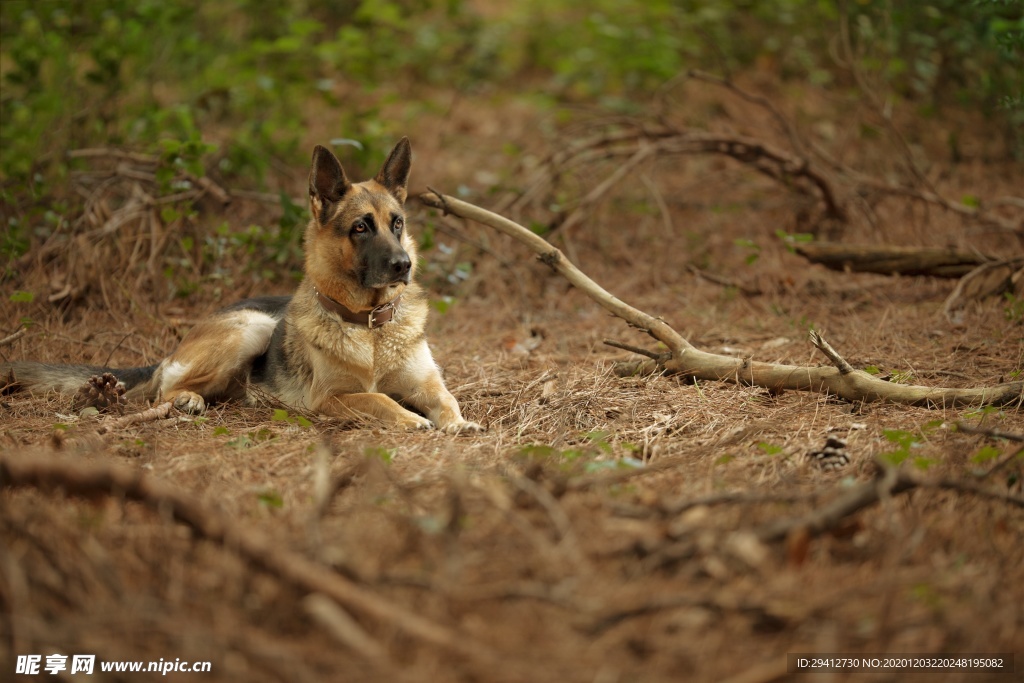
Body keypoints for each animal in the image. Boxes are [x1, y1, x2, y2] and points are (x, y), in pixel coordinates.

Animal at [3, 140, 483, 432]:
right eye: (360, 228)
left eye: (397, 223)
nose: (403, 265)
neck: (369, 326)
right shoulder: (330, 398)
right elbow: (379, 399)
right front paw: (408, 419)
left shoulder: (427, 385)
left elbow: (447, 400)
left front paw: (459, 424)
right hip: (252, 327)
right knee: (164, 390)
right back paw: (185, 400)